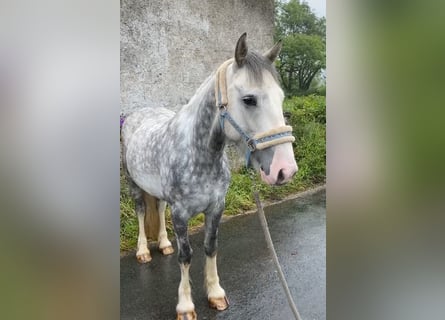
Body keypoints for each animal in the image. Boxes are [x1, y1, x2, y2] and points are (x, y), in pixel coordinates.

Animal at [120, 33, 298, 318]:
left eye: (281, 98)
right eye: (249, 99)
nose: (285, 170)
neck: (199, 154)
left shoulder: (216, 207)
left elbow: (211, 247)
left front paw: (215, 294)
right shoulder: (180, 214)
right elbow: (186, 256)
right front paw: (185, 306)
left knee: (157, 208)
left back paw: (164, 243)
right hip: (134, 184)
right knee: (140, 211)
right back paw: (143, 251)